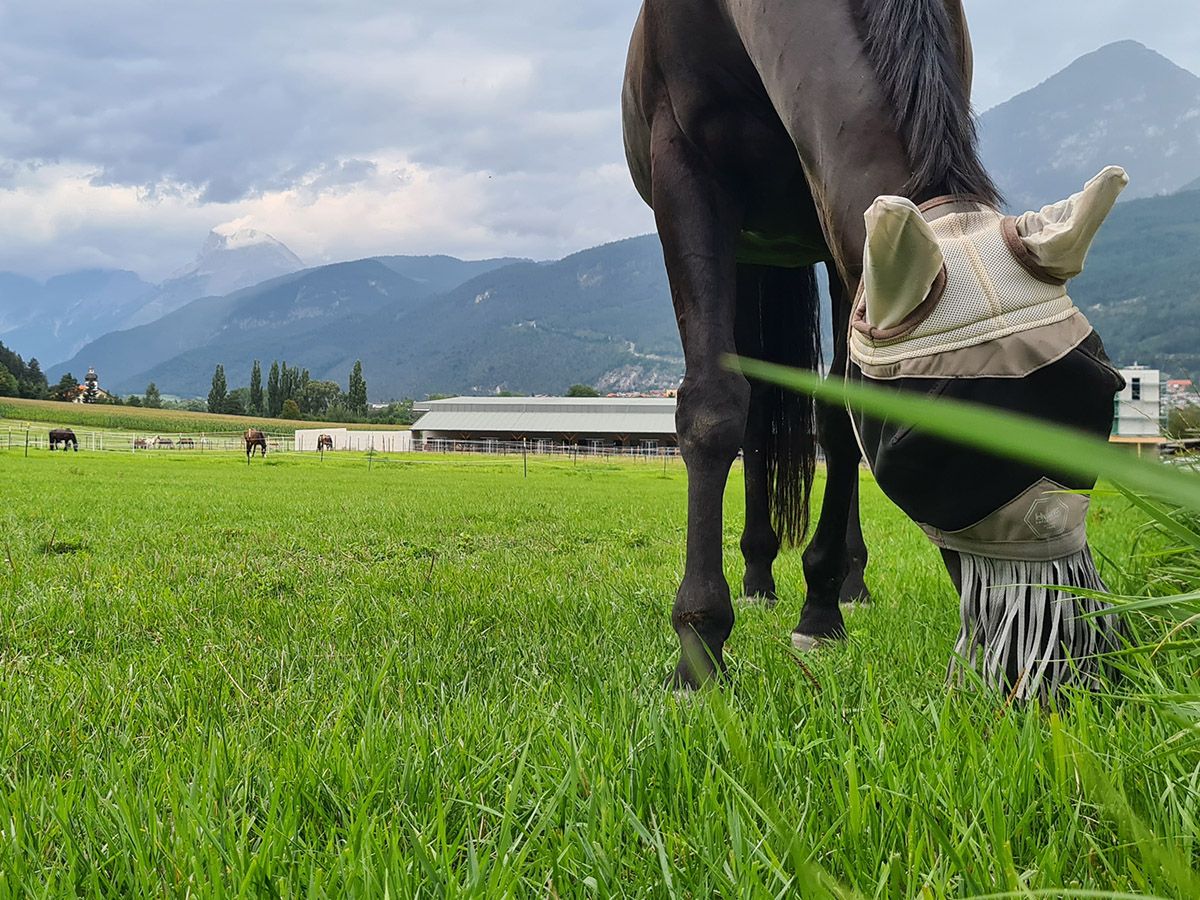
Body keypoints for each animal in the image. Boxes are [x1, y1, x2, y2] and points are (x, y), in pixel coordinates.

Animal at [623, 0, 1124, 697]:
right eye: (934, 448)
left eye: (1107, 396)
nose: (1066, 664)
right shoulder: (686, 171)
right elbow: (712, 406)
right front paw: (699, 646)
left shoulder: (842, 231)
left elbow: (840, 417)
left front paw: (820, 610)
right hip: (753, 254)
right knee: (754, 413)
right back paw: (756, 577)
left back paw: (848, 583)